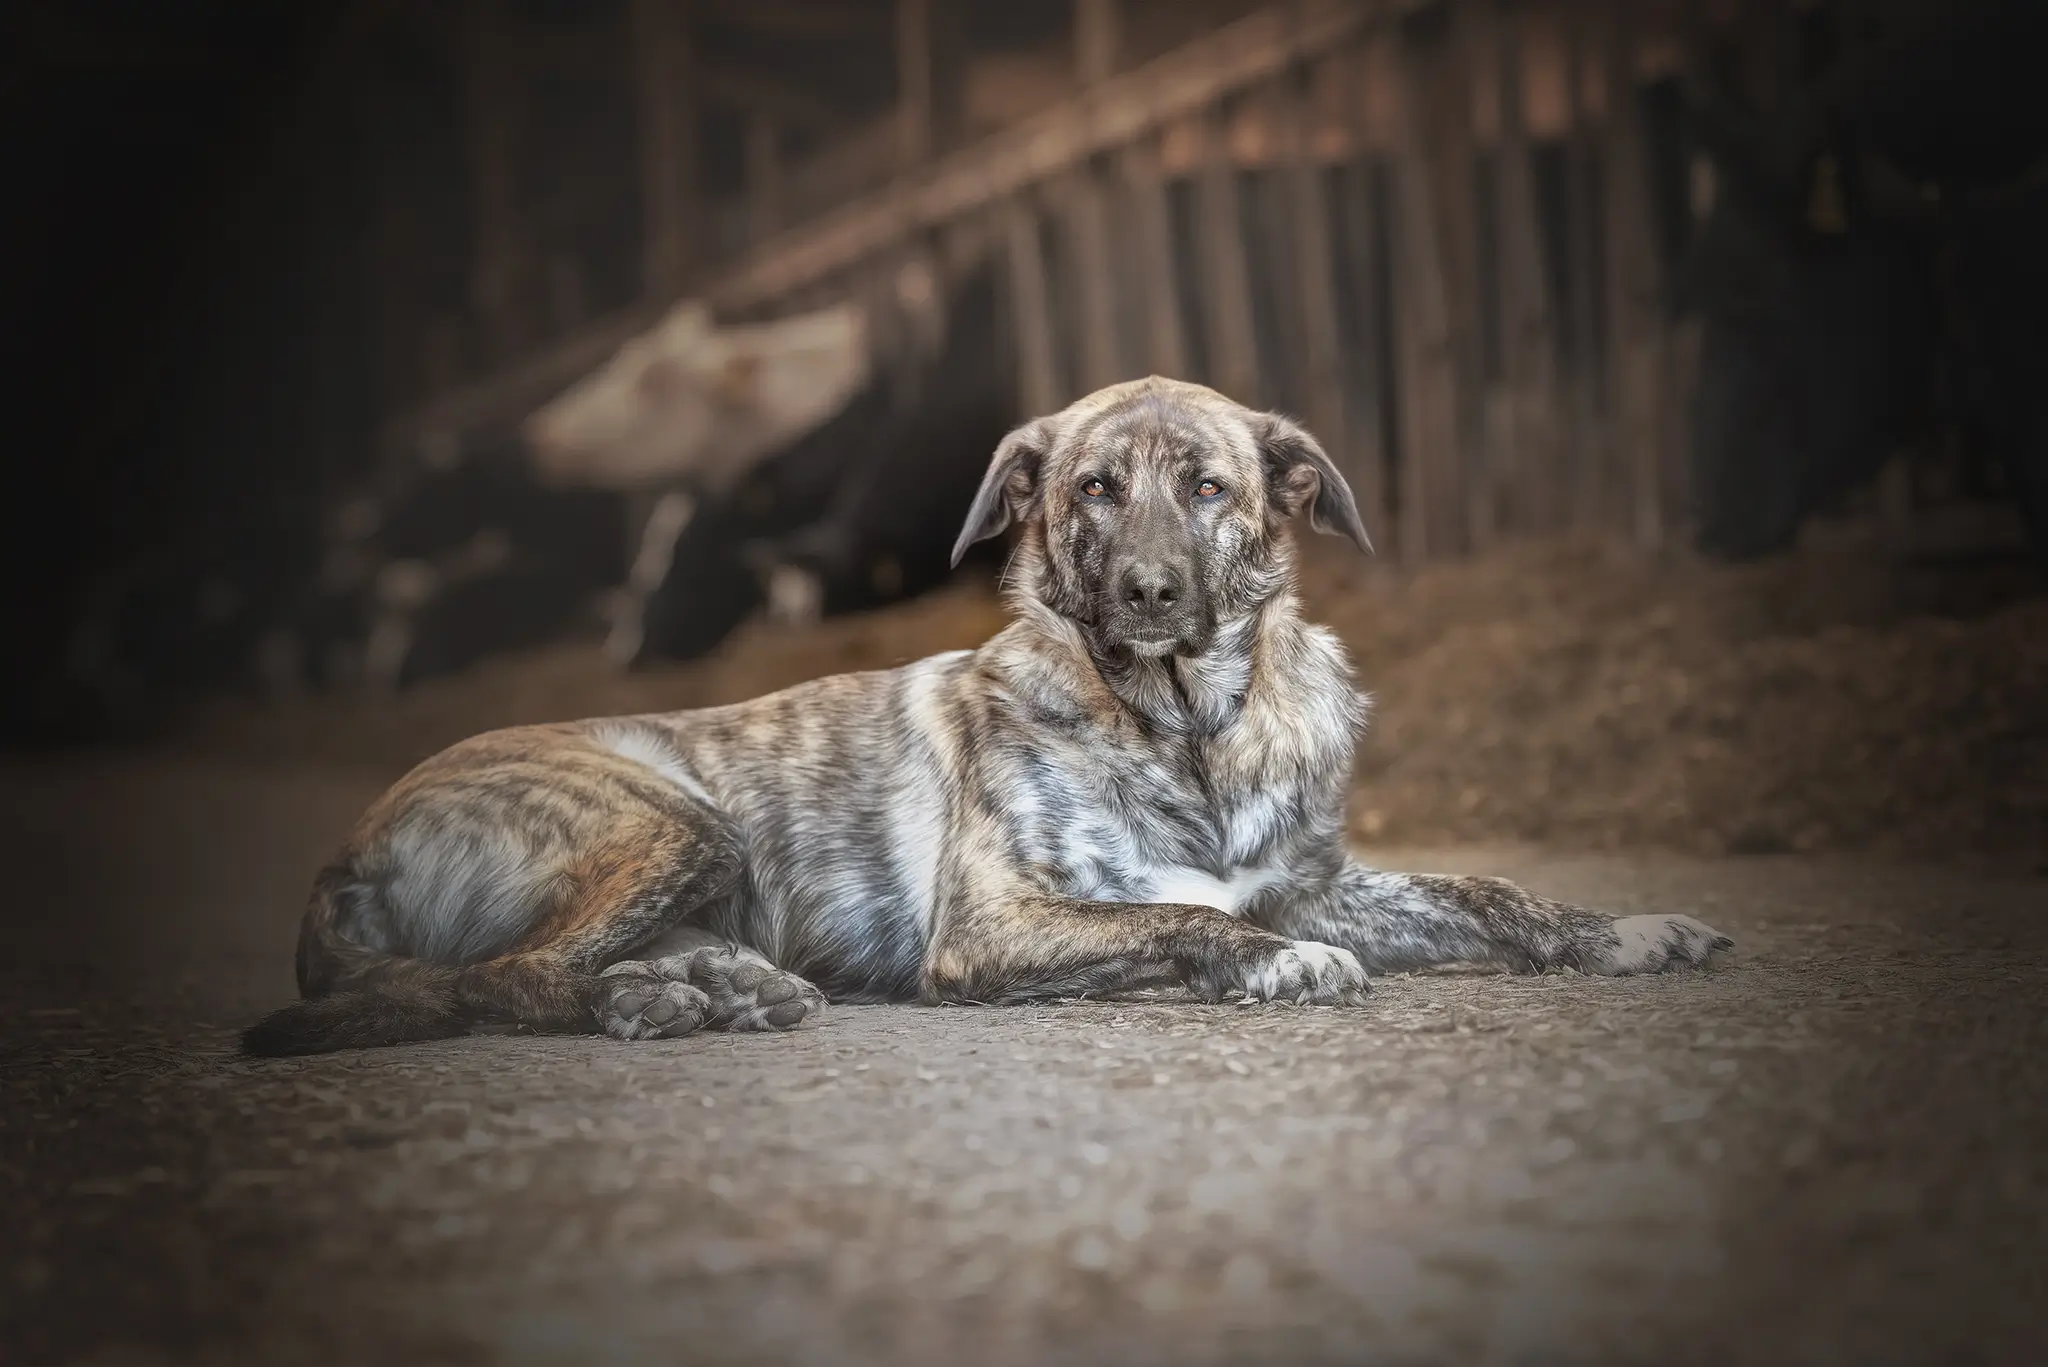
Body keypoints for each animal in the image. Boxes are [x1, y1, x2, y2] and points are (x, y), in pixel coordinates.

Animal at [247, 379, 1736, 1065]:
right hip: (672, 816)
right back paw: (668, 1002)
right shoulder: (998, 924)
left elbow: (1490, 891)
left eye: (1207, 486)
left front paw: (1626, 930)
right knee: (513, 976)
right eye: (1090, 488)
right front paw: (1274, 964)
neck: (1185, 733)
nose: (1147, 591)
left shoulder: (1315, 875)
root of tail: (345, 849)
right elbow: (1188, 917)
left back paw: (714, 983)